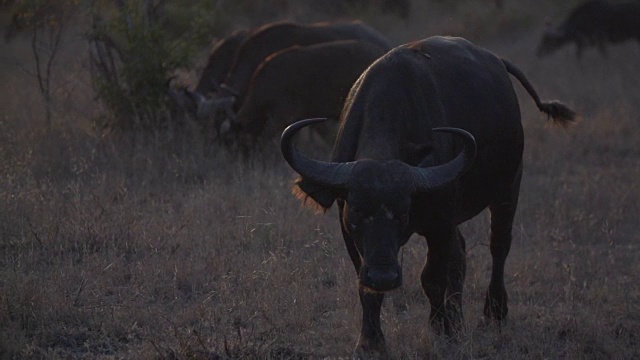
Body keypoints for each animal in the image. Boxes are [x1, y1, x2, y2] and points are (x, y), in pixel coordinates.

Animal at [280, 36, 576, 358]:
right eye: (358, 213)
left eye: (402, 214)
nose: (384, 277)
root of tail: (497, 61)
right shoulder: (350, 231)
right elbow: (365, 284)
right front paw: (371, 340)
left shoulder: (439, 224)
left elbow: (432, 277)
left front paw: (440, 327)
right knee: (460, 253)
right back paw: (458, 319)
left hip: (509, 185)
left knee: (499, 246)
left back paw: (493, 312)